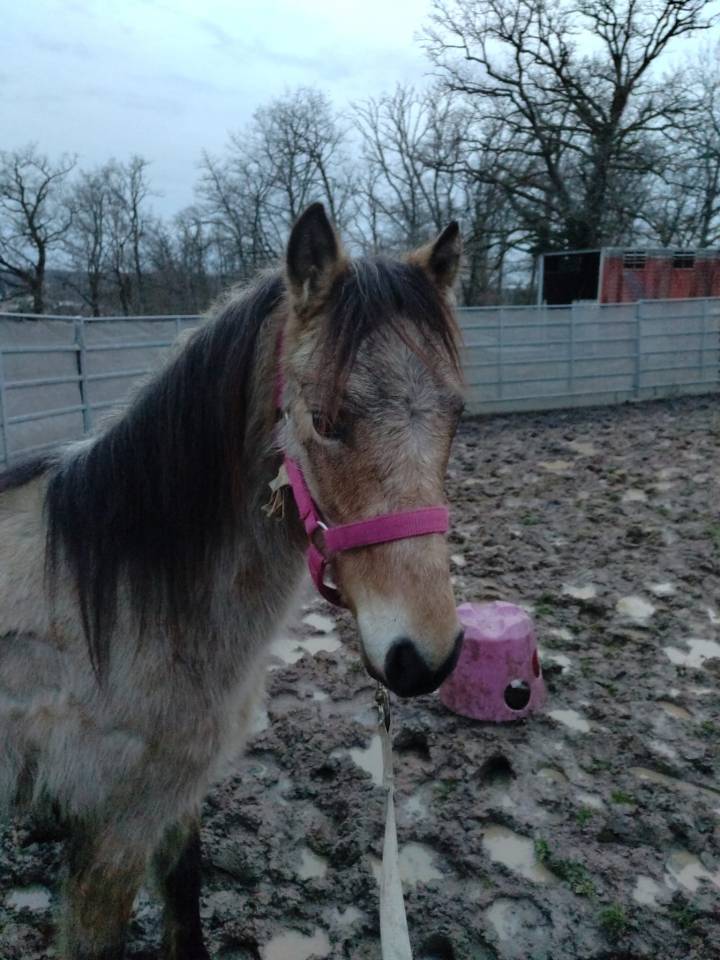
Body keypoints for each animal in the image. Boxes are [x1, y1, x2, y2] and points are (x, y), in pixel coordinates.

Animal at [0, 203, 465, 959]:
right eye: (325, 421)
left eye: (458, 415)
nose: (424, 657)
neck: (118, 606)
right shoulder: (112, 829)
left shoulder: (176, 798)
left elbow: (185, 898)